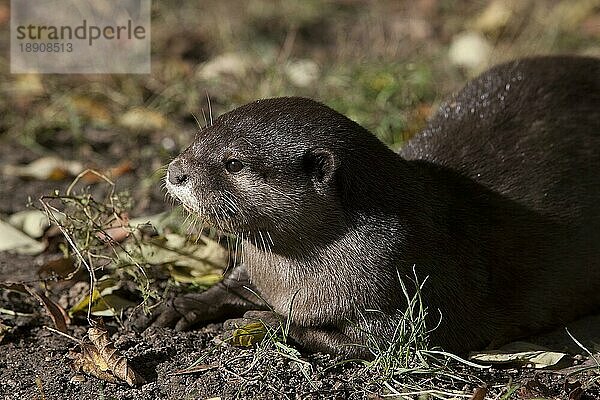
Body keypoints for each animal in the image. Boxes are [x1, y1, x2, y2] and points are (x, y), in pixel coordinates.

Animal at [155, 55, 600, 356]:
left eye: (233, 163)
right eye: (200, 136)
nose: (176, 171)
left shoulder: (416, 297)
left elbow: (365, 340)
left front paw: (265, 320)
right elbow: (236, 281)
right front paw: (181, 304)